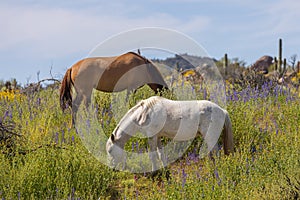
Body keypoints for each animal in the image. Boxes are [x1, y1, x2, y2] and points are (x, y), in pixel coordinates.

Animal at [106, 96, 234, 171]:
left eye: (110, 151)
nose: (112, 168)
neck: (143, 113)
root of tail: (222, 111)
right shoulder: (157, 137)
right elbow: (160, 154)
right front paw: (163, 168)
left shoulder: (152, 136)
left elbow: (153, 155)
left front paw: (154, 171)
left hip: (211, 137)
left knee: (216, 153)